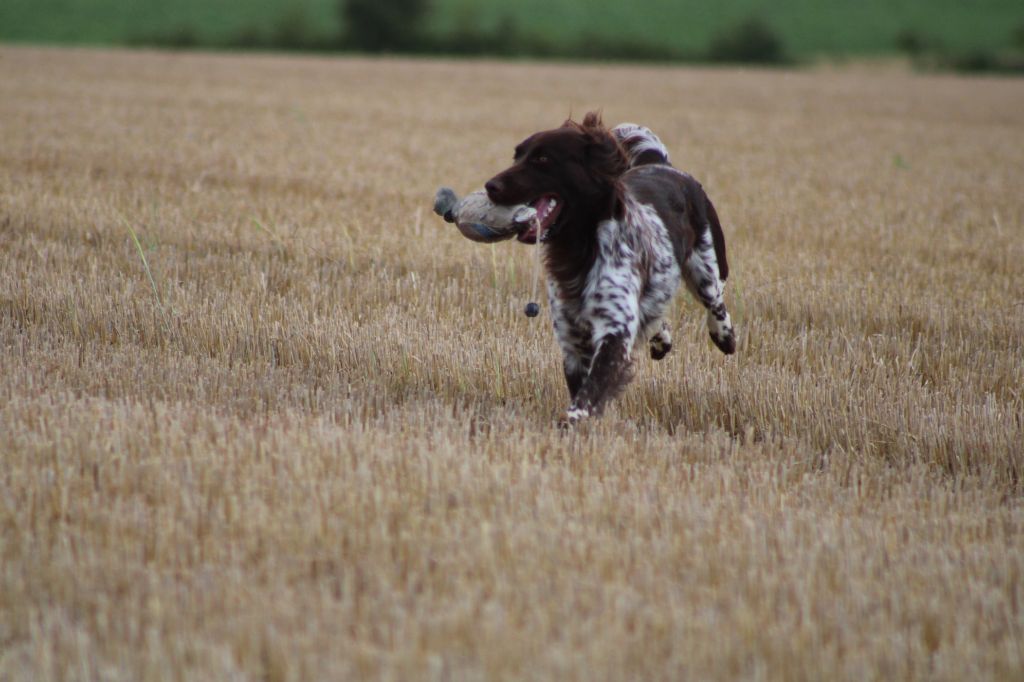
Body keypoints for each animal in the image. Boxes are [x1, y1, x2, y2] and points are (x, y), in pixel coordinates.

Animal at [483, 111, 733, 419]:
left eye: (542, 159)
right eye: (517, 156)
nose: (490, 186)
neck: (581, 249)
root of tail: (663, 166)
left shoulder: (614, 331)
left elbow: (589, 394)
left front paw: (570, 421)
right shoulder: (572, 339)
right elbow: (584, 389)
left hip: (707, 268)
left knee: (715, 300)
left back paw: (724, 336)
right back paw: (661, 340)